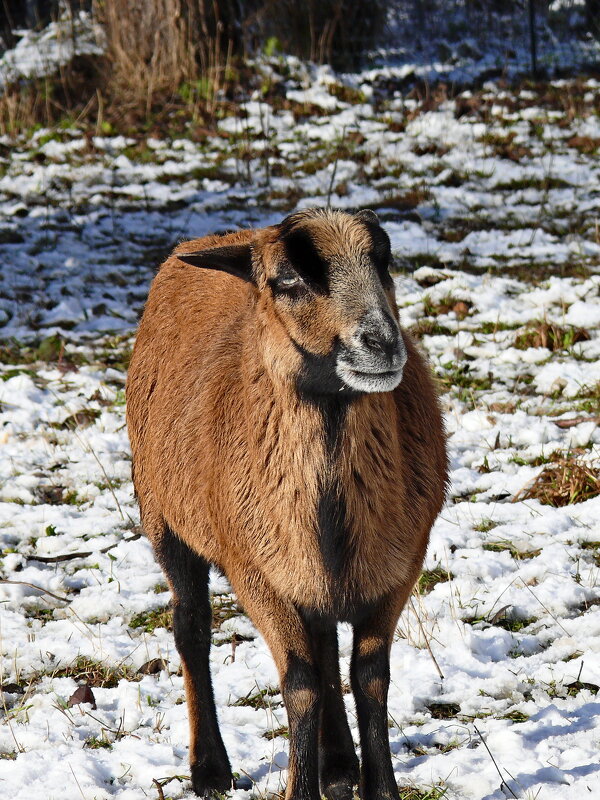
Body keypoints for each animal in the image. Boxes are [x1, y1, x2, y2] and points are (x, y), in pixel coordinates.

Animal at [125, 208, 446, 800]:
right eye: (288, 280)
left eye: (384, 262)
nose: (383, 344)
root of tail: (224, 236)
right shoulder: (256, 575)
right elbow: (298, 684)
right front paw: (301, 784)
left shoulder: (399, 567)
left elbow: (369, 676)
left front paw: (376, 786)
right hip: (163, 518)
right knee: (191, 627)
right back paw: (210, 768)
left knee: (323, 643)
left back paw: (338, 764)